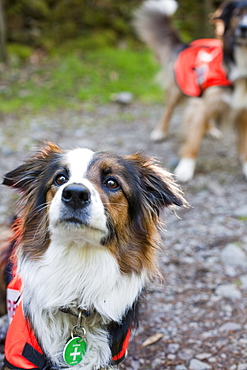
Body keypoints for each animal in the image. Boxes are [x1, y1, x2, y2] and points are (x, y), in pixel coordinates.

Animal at [134, 0, 247, 182]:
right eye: (238, 13)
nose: (244, 28)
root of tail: (188, 43)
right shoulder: (200, 106)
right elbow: (193, 140)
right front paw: (185, 167)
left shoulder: (243, 111)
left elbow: (243, 145)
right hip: (179, 89)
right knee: (169, 110)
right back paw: (160, 131)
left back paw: (211, 129)